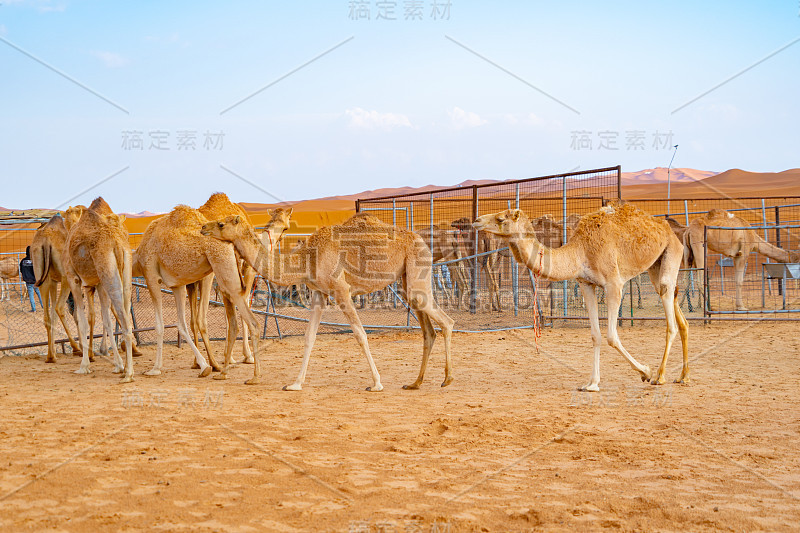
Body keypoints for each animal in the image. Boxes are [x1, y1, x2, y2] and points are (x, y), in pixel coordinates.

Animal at [30, 214, 83, 360]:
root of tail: (46, 241)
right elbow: (77, 314)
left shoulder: (53, 281)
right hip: (65, 278)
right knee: (59, 307)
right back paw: (76, 348)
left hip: (42, 276)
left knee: (48, 316)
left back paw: (50, 356)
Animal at [64, 197, 134, 380]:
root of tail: (116, 243)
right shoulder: (99, 284)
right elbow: (106, 321)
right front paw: (118, 365)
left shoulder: (73, 279)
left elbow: (82, 321)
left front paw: (84, 366)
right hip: (125, 271)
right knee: (125, 310)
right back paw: (126, 368)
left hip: (108, 271)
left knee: (125, 320)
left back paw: (129, 374)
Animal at [132, 202, 260, 380]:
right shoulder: (177, 285)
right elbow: (182, 324)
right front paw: (203, 365)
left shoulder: (151, 276)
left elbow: (160, 325)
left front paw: (155, 368)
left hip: (224, 271)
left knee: (247, 317)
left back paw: (248, 372)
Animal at [199, 211, 454, 390]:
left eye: (221, 224)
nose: (203, 227)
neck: (307, 258)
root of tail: (423, 242)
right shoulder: (319, 294)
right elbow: (309, 337)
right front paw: (295, 384)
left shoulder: (341, 290)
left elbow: (360, 334)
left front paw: (376, 383)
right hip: (407, 281)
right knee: (429, 330)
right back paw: (415, 383)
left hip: (417, 274)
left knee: (447, 322)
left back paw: (448, 378)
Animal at [472, 202, 692, 388]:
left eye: (501, 218)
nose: (476, 221)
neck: (581, 251)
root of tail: (667, 229)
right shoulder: (586, 284)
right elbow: (595, 335)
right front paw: (592, 383)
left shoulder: (614, 285)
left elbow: (611, 336)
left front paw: (645, 371)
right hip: (656, 264)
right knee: (677, 311)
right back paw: (683, 376)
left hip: (672, 252)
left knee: (669, 313)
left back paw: (660, 376)